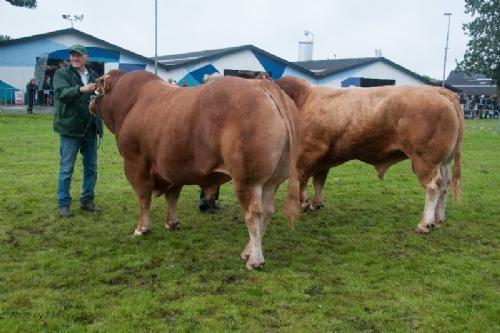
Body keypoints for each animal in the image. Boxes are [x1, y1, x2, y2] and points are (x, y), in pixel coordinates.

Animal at [276, 76, 462, 232]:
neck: (303, 101)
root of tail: (439, 90)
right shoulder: (324, 159)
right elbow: (318, 181)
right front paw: (316, 204)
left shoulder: (308, 152)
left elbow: (302, 179)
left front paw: (304, 204)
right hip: (443, 162)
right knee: (444, 185)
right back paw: (439, 220)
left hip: (424, 160)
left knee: (433, 186)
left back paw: (425, 224)